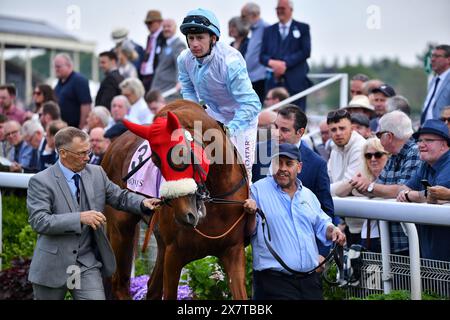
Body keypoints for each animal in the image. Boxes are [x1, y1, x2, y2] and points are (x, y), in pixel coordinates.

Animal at [102, 100, 250, 300]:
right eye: (155, 161)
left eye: (182, 154)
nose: (184, 215)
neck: (215, 201)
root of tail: (114, 145)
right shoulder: (174, 255)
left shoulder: (233, 251)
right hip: (120, 229)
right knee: (119, 284)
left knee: (152, 288)